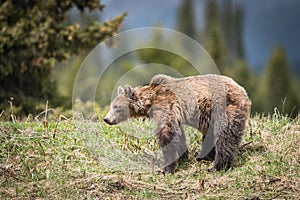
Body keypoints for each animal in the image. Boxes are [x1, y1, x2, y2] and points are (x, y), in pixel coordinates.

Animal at [103, 74, 251, 173]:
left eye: (116, 107)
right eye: (111, 106)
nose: (106, 119)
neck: (150, 101)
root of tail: (242, 90)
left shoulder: (165, 105)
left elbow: (166, 132)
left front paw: (166, 168)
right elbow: (178, 135)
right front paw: (183, 156)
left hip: (224, 108)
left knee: (225, 136)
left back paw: (218, 165)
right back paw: (205, 156)